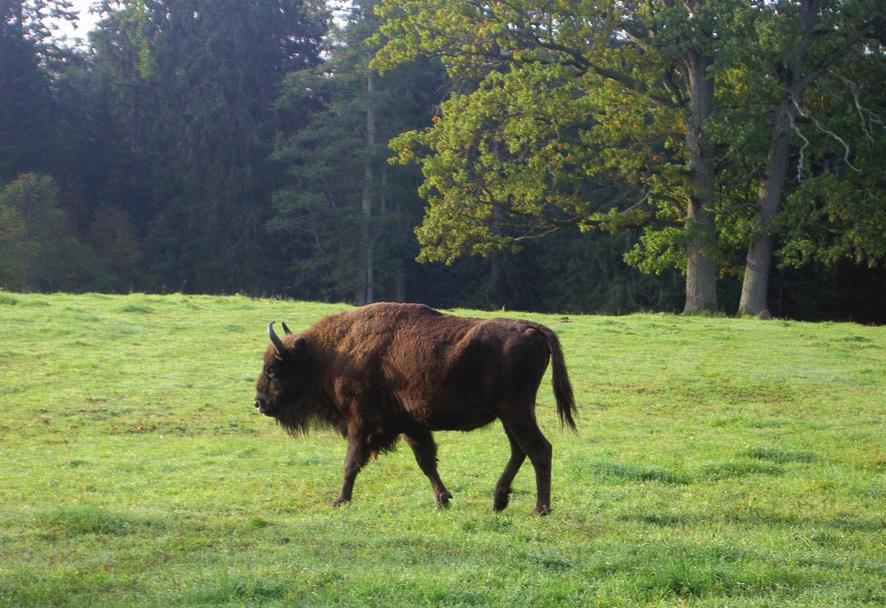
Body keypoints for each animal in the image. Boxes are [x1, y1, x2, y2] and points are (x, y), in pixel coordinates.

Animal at [253, 302, 580, 512]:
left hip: (515, 411)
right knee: (520, 450)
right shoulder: (411, 425)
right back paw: (499, 501)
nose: (259, 403)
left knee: (539, 449)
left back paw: (540, 509)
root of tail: (534, 329)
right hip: (509, 415)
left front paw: (339, 501)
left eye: (273, 369)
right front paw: (443, 499)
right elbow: (426, 462)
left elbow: (351, 462)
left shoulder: (359, 422)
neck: (336, 353)